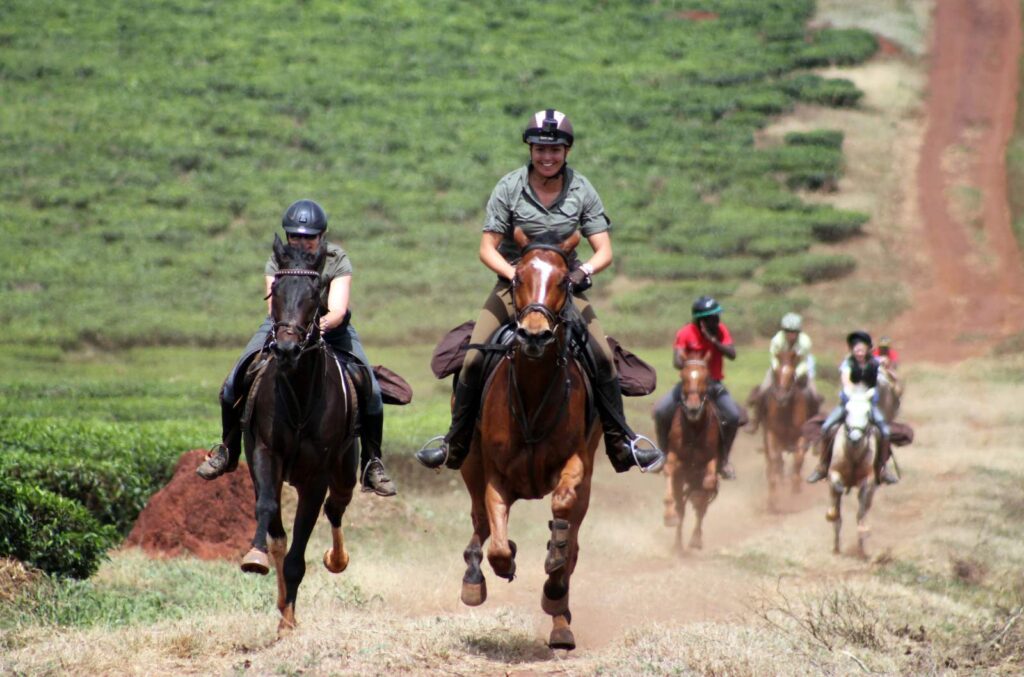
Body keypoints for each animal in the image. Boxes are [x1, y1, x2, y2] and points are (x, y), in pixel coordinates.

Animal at [240, 235, 359, 637]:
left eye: (314, 293)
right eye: (275, 291)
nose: (287, 348)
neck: (298, 393)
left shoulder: (316, 475)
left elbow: (300, 544)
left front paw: (289, 622)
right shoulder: (264, 455)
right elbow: (268, 513)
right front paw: (255, 559)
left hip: (346, 470)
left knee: (336, 506)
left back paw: (337, 559)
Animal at [458, 229, 600, 651]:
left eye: (565, 281)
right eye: (518, 277)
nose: (535, 335)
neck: (534, 391)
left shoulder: (577, 463)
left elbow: (564, 513)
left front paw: (553, 566)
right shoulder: (495, 475)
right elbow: (499, 544)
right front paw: (503, 562)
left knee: (572, 544)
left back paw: (561, 623)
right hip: (469, 463)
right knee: (479, 522)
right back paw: (473, 579)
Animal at [661, 353, 720, 552]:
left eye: (706, 378)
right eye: (682, 376)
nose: (693, 408)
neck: (694, 428)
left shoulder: (711, 460)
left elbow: (707, 483)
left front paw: (696, 538)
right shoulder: (675, 459)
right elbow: (669, 471)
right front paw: (669, 516)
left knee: (701, 500)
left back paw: (695, 539)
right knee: (682, 505)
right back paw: (678, 543)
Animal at [761, 349, 813, 511]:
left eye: (792, 374)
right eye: (776, 372)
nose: (781, 398)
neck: (786, 412)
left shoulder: (801, 436)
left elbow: (798, 459)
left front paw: (795, 489)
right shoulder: (771, 434)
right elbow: (774, 460)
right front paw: (772, 500)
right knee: (774, 462)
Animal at [823, 387, 878, 558]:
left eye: (868, 412)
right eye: (846, 411)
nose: (855, 438)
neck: (853, 454)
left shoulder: (868, 481)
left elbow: (861, 511)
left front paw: (863, 533)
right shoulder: (833, 474)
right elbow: (836, 496)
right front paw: (832, 514)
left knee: (864, 509)